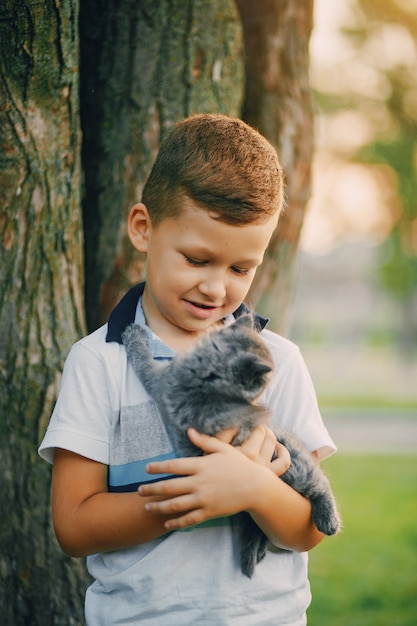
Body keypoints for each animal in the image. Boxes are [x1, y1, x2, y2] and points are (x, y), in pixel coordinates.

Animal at [121, 314, 342, 576]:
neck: (208, 383)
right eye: (263, 382)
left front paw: (134, 334)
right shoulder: (162, 382)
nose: (259, 399)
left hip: (291, 458)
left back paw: (328, 520)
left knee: (319, 482)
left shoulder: (159, 381)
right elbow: (144, 359)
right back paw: (256, 550)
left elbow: (142, 358)